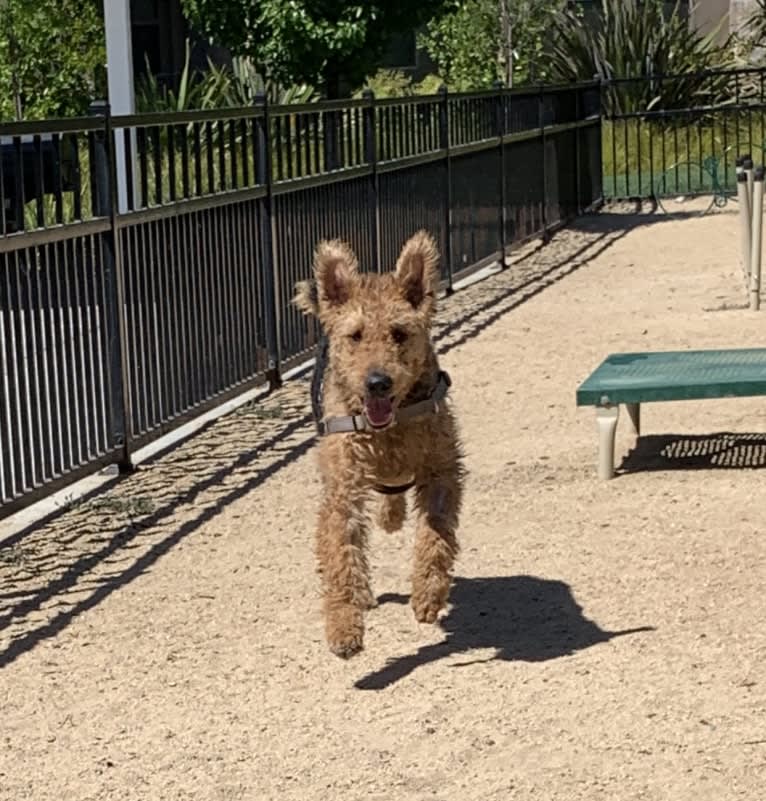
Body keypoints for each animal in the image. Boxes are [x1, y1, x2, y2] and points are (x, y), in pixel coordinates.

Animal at [292, 231, 462, 656]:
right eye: (354, 335)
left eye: (399, 333)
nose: (377, 382)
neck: (389, 427)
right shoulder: (344, 488)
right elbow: (341, 554)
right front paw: (343, 628)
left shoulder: (441, 471)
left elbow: (436, 534)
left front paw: (428, 595)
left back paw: (392, 516)